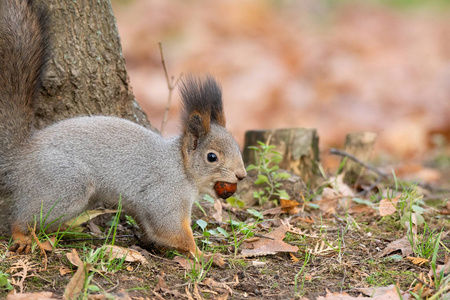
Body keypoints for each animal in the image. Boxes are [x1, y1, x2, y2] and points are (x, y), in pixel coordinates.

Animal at [0, 0, 246, 255]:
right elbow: (171, 229)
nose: (241, 175)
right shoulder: (166, 193)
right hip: (65, 183)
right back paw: (22, 236)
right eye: (211, 157)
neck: (181, 166)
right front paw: (203, 255)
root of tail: (22, 154)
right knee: (23, 217)